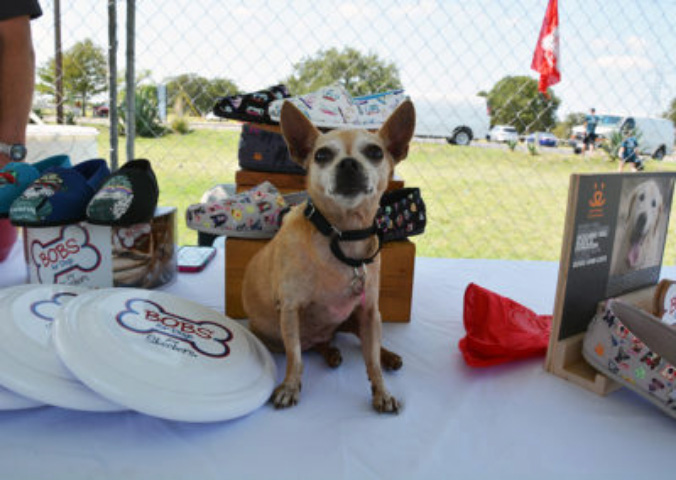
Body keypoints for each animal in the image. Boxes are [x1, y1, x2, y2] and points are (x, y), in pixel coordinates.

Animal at [240, 98, 414, 412]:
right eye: (321, 155)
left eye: (375, 152)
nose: (348, 163)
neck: (343, 236)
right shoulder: (290, 312)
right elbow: (295, 357)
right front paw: (290, 386)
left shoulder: (370, 312)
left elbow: (371, 361)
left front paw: (382, 391)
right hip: (272, 334)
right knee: (310, 345)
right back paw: (330, 351)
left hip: (362, 319)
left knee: (364, 342)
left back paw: (387, 355)